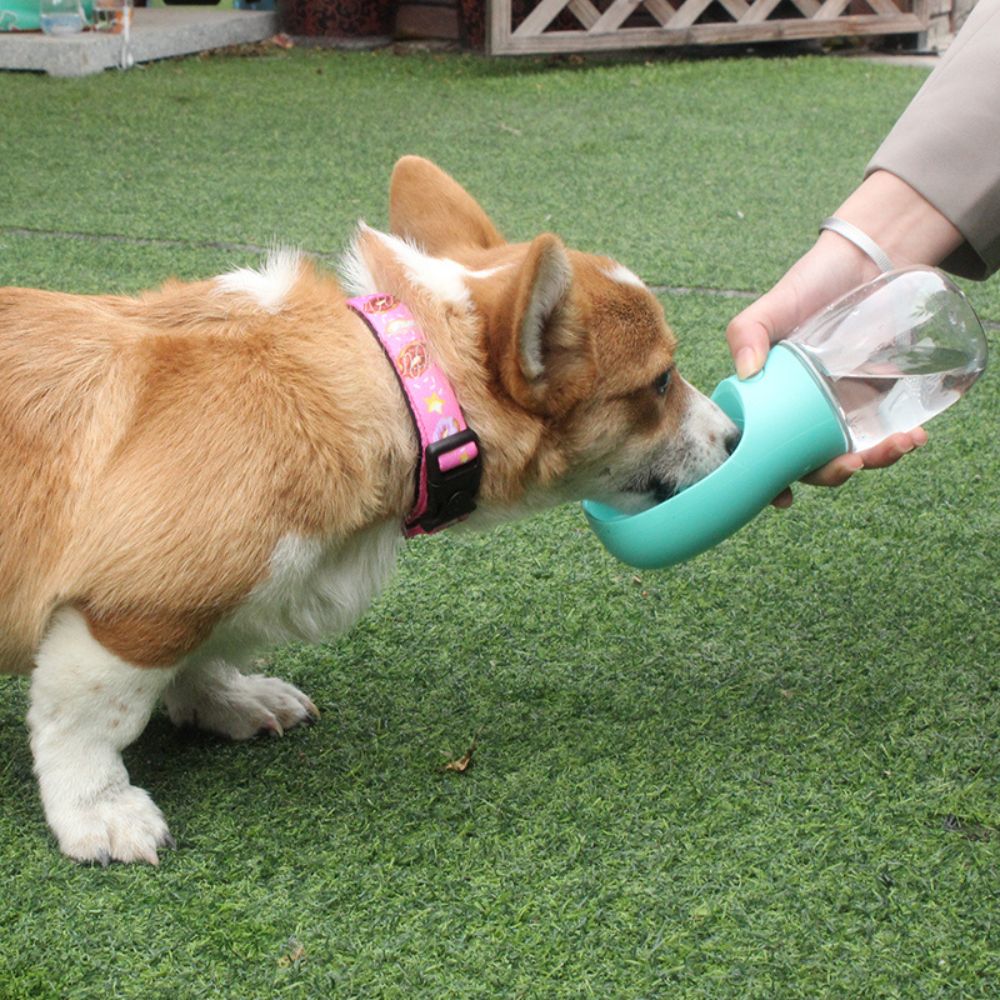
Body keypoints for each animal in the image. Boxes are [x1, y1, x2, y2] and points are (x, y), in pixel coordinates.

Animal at [0, 158, 736, 868]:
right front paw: (98, 811)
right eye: (661, 382)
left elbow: (202, 659)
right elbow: (89, 722)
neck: (401, 381)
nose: (734, 436)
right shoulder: (132, 609)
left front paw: (231, 701)